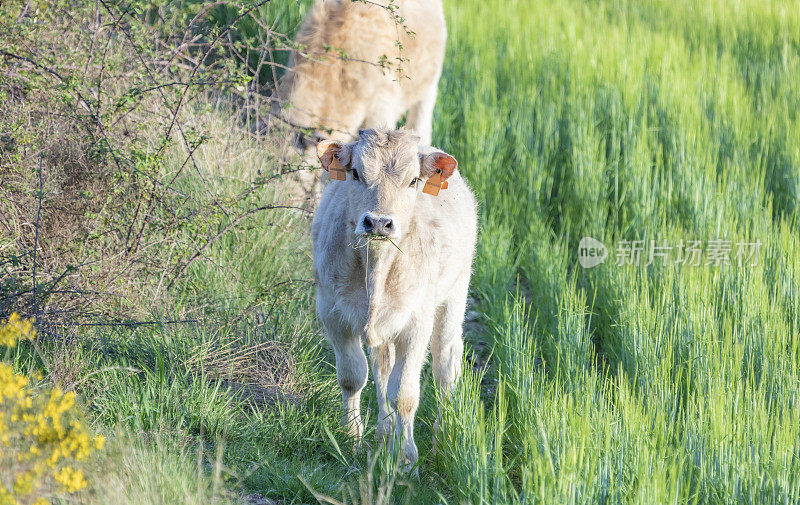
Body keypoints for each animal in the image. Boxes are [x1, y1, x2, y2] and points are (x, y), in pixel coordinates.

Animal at [310, 128, 476, 470]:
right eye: (355, 173)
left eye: (413, 180)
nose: (378, 223)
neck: (376, 267)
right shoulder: (332, 314)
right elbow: (353, 376)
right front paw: (353, 438)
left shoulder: (416, 324)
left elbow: (405, 393)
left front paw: (407, 457)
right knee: (382, 366)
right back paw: (384, 433)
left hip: (454, 296)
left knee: (445, 366)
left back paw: (441, 438)